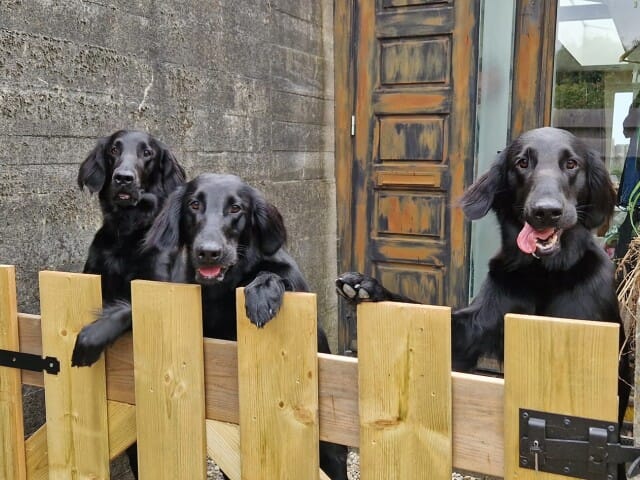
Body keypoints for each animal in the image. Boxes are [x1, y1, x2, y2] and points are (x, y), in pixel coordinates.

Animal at [74, 129, 188, 366]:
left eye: (147, 153)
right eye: (113, 149)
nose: (123, 178)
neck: (127, 231)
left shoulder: (158, 288)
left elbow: (130, 308)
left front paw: (91, 337)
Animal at [338, 126, 632, 428]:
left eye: (571, 164)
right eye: (522, 163)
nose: (546, 212)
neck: (543, 274)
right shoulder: (474, 326)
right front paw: (368, 287)